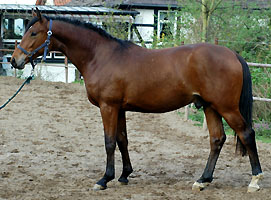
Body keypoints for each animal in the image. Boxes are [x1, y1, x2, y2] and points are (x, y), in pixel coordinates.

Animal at [11, 9, 264, 192]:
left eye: (33, 33)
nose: (15, 60)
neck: (101, 56)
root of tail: (232, 54)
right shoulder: (120, 109)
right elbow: (122, 140)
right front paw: (124, 175)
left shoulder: (108, 107)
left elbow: (109, 142)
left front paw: (104, 179)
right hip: (210, 107)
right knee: (216, 140)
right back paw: (203, 180)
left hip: (226, 107)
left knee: (246, 134)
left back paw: (255, 180)